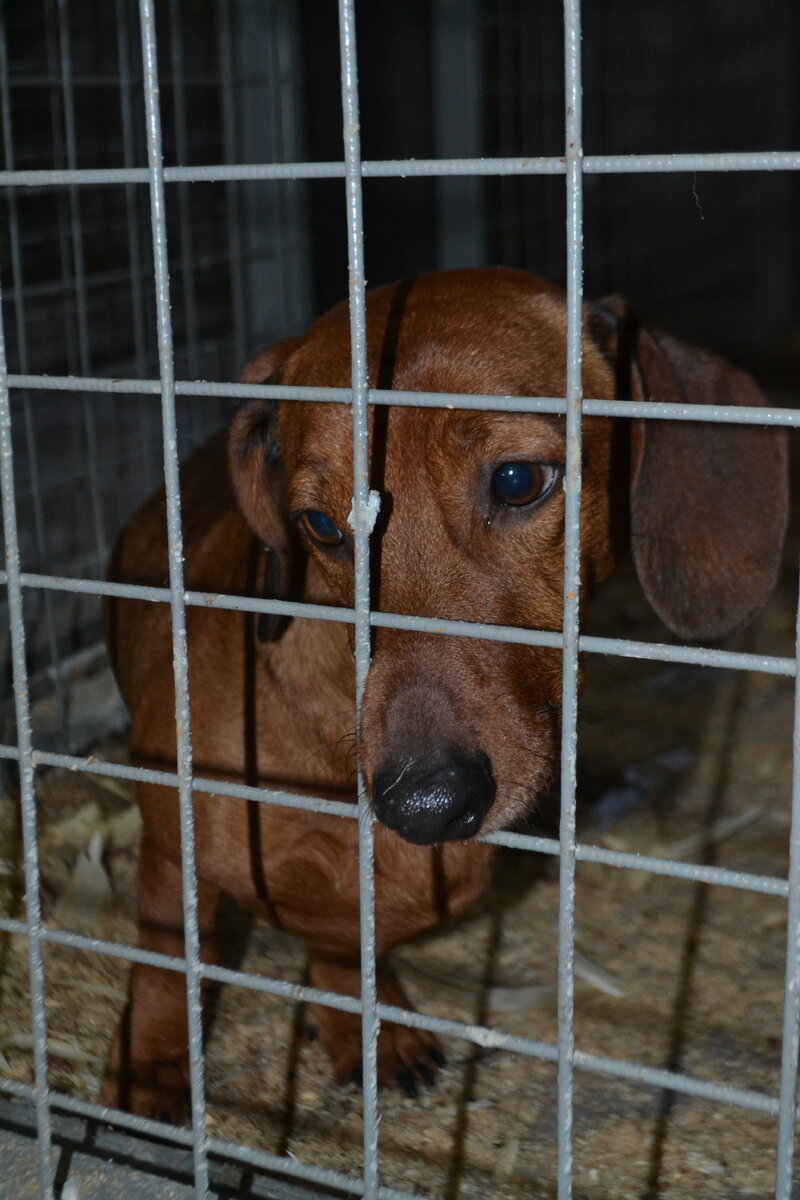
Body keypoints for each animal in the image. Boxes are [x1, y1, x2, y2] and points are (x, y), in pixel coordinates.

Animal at [100, 267, 786, 1118]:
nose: (424, 803)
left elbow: (342, 943)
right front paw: (151, 1067)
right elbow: (168, 966)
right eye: (320, 525)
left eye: (519, 480)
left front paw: (370, 1026)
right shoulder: (172, 850)